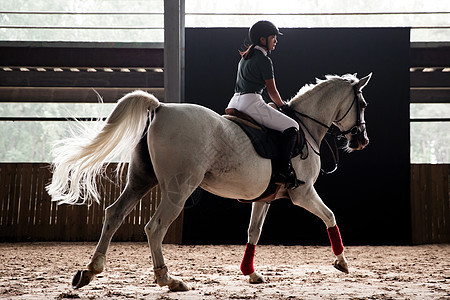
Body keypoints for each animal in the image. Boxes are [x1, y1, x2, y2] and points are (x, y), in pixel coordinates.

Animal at [45, 72, 370, 290]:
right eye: (363, 104)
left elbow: (254, 231)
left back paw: (90, 271)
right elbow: (329, 215)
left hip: (141, 180)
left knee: (114, 214)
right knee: (154, 227)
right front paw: (342, 262)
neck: (306, 127)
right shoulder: (303, 193)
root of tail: (161, 107)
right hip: (178, 189)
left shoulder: (264, 198)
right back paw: (168, 279)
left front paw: (250, 272)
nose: (361, 141)